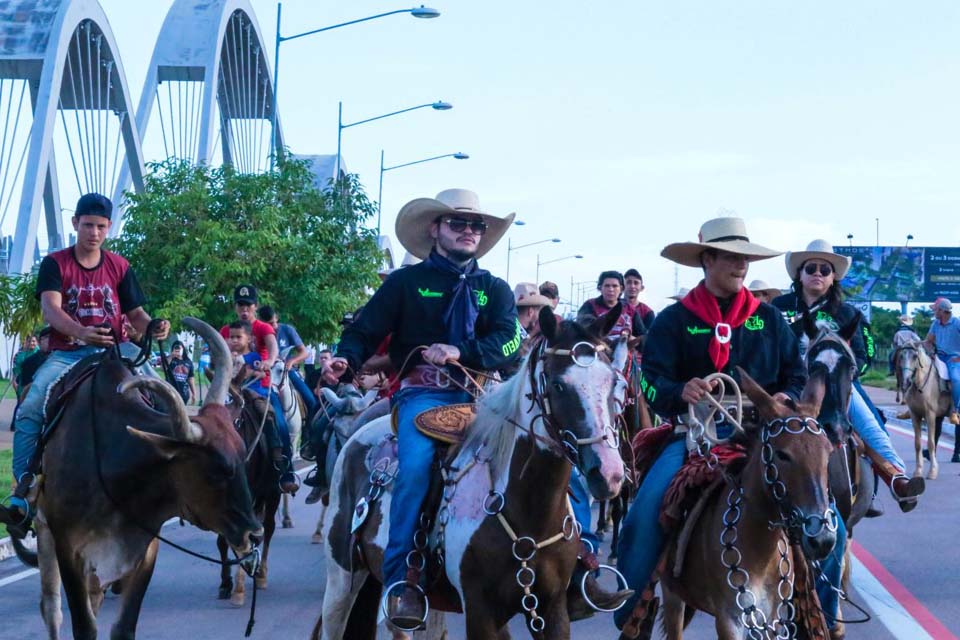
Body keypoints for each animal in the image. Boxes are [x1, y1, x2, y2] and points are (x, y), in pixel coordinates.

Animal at [314, 308, 632, 636]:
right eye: (558, 385)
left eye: (615, 384)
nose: (609, 473)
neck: (527, 510)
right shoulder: (480, 611)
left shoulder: (553, 608)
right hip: (341, 579)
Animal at [656, 370, 836, 640]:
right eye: (782, 454)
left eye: (829, 452)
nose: (822, 539)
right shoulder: (730, 619)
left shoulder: (772, 619)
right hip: (672, 594)